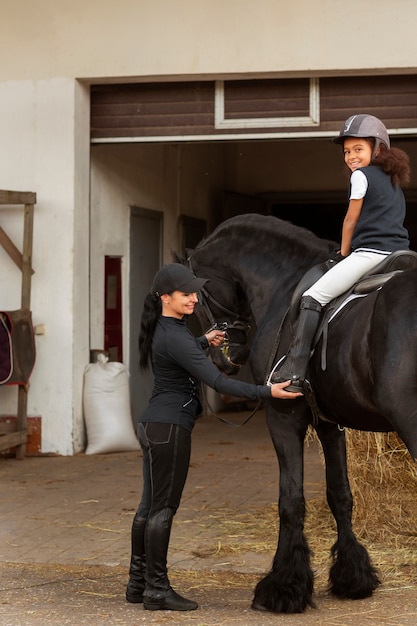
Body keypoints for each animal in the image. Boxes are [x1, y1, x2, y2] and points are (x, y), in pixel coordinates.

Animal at [176, 212, 416, 612]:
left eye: (200, 298)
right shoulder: (330, 424)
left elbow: (290, 501)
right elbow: (340, 495)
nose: (229, 358)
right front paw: (352, 577)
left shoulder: (283, 417)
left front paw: (282, 588)